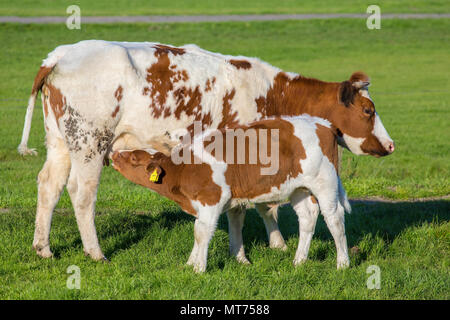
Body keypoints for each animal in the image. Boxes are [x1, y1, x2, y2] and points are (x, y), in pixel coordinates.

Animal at [109, 116, 352, 272]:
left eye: (134, 158)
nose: (113, 154)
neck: (185, 168)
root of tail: (323, 124)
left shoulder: (211, 199)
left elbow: (202, 233)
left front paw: (198, 269)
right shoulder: (201, 205)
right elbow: (198, 231)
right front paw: (189, 264)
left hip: (325, 183)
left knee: (334, 219)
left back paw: (343, 264)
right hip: (298, 188)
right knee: (307, 217)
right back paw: (299, 261)